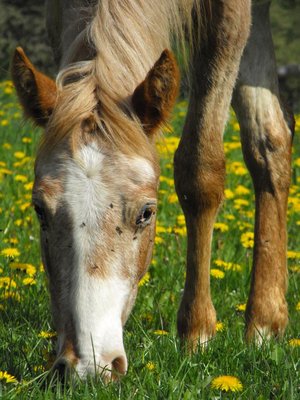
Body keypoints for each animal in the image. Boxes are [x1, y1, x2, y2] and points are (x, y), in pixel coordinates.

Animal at [11, 0, 292, 380]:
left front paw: (196, 333)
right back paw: (267, 321)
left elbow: (199, 169)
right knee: (269, 142)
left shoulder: (228, 16)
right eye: (39, 209)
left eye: (147, 213)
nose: (89, 367)